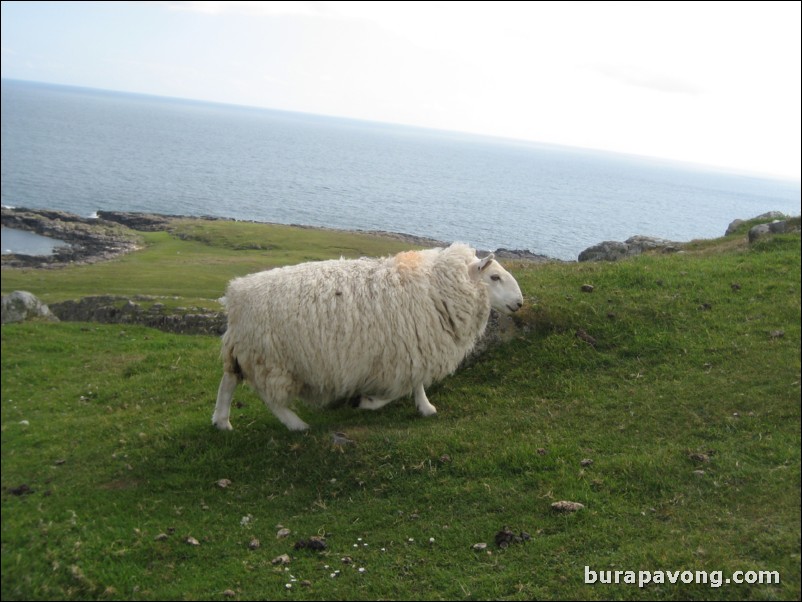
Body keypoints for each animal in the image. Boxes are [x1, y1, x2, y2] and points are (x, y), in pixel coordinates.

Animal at [211, 241, 524, 428]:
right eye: (495, 277)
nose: (520, 303)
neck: (438, 287)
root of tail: (236, 295)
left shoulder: (413, 347)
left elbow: (416, 383)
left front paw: (424, 406)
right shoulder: (401, 352)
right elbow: (399, 389)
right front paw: (369, 402)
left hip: (246, 352)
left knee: (228, 380)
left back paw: (222, 421)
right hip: (271, 359)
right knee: (269, 397)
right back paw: (296, 424)